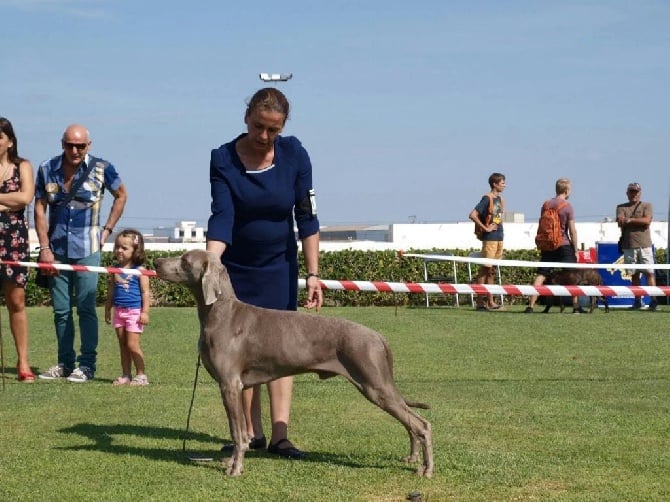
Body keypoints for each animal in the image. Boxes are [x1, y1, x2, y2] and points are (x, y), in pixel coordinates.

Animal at [154, 251, 434, 478]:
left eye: (185, 259)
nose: (155, 262)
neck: (220, 313)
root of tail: (378, 336)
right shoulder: (239, 386)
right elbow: (242, 433)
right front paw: (233, 461)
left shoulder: (229, 385)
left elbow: (236, 432)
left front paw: (235, 469)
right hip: (380, 385)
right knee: (411, 422)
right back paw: (412, 458)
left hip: (375, 384)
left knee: (421, 424)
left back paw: (426, 469)